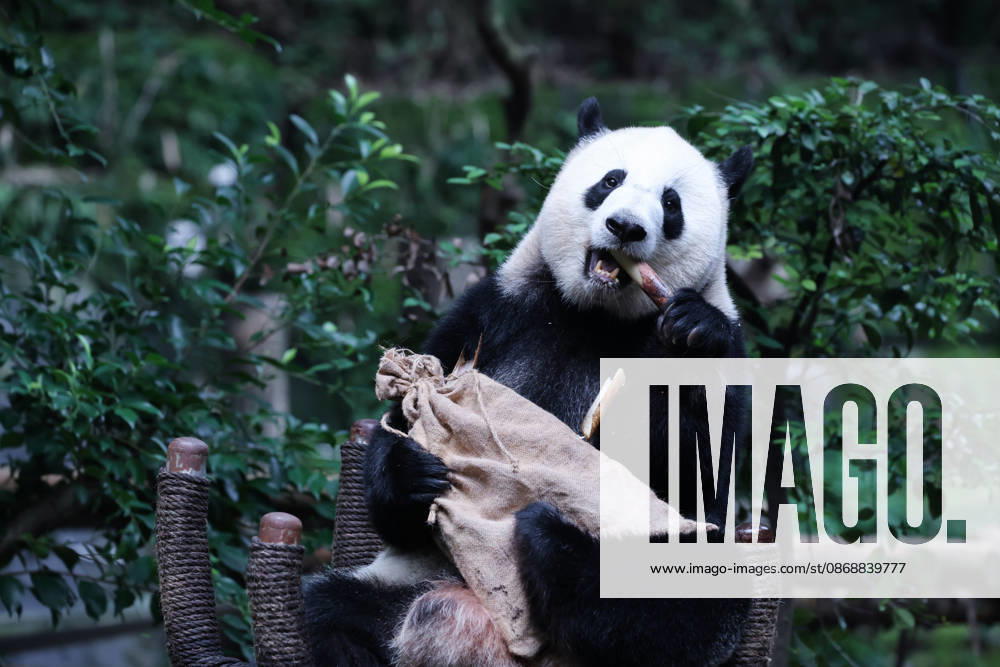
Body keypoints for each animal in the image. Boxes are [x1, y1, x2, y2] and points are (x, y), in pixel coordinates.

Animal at [304, 97, 755, 667]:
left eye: (671, 204)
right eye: (611, 180)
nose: (626, 227)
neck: (596, 316)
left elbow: (694, 466)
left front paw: (693, 330)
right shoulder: (497, 310)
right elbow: (399, 438)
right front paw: (415, 472)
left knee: (674, 606)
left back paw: (552, 541)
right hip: (404, 580)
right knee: (334, 611)